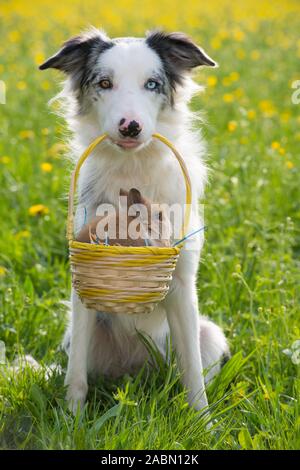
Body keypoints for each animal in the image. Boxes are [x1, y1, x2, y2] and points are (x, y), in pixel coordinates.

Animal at [40, 27, 230, 414]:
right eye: (105, 82)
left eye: (152, 84)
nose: (130, 127)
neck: (133, 168)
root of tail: (132, 371)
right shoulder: (82, 287)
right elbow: (76, 378)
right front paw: (72, 420)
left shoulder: (182, 284)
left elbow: (193, 376)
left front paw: (203, 422)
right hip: (75, 336)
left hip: (211, 334)